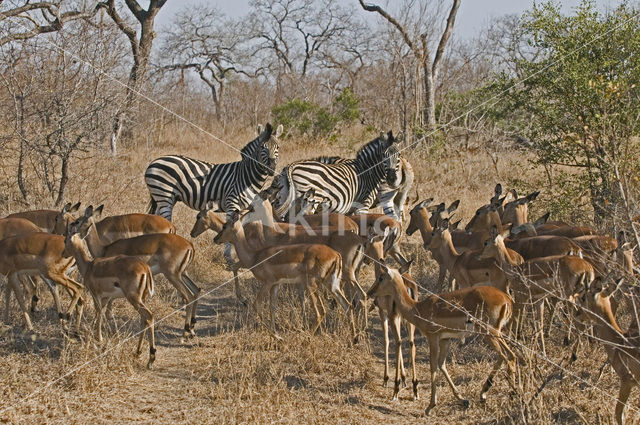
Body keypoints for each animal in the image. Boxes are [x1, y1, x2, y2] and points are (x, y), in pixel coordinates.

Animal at [148, 122, 284, 220]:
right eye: (262, 147)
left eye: (278, 147)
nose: (272, 167)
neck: (247, 175)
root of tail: (154, 162)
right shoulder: (231, 204)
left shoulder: (242, 208)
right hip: (164, 196)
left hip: (166, 198)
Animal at [270, 131, 400, 220]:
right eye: (384, 156)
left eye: (398, 155)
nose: (392, 178)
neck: (368, 170)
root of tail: (291, 166)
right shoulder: (363, 205)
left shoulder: (351, 209)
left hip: (285, 196)